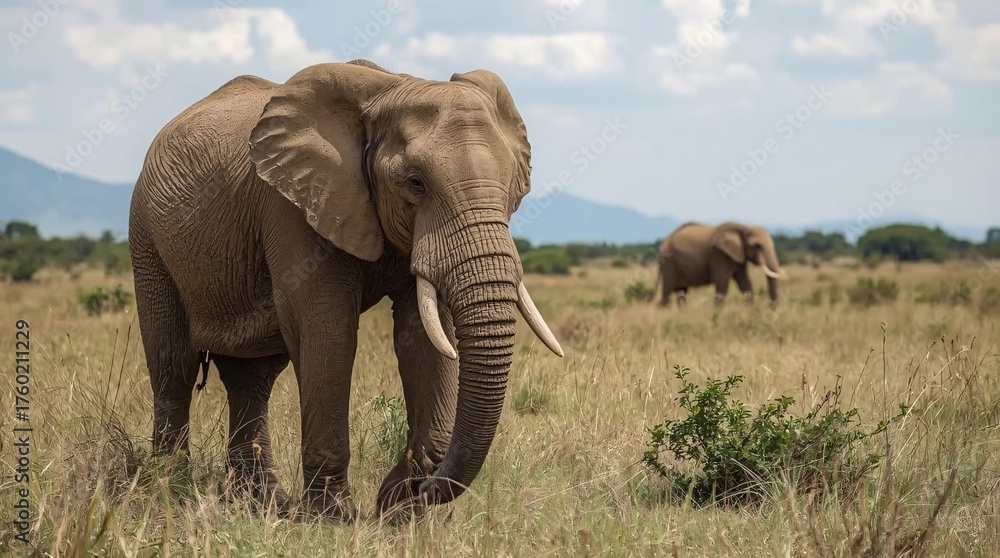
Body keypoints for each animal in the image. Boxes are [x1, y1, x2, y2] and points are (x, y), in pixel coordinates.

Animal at [128, 59, 564, 522]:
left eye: (513, 188)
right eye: (415, 183)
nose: (420, 488)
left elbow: (424, 337)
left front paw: (402, 515)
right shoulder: (294, 206)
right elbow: (329, 332)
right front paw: (333, 520)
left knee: (253, 377)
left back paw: (261, 503)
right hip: (148, 240)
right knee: (174, 366)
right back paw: (171, 488)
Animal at [656, 221, 786, 308]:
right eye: (757, 246)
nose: (771, 306)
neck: (744, 227)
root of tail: (663, 244)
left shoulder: (738, 255)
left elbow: (744, 282)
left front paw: (750, 310)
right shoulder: (719, 255)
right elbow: (722, 282)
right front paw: (717, 311)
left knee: (681, 293)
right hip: (669, 263)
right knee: (667, 292)